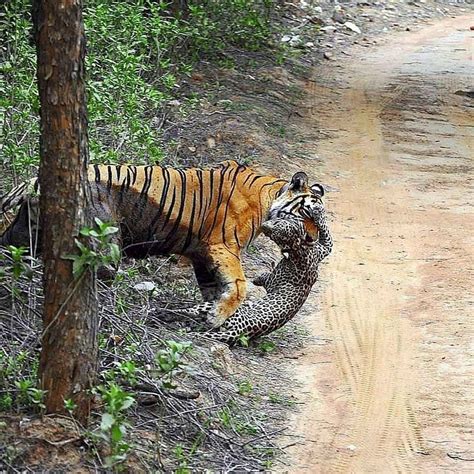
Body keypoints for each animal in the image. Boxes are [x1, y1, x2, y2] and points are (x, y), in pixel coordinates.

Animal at [0, 161, 324, 328]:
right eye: (307, 214)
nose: (311, 239)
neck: (269, 195)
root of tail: (33, 181)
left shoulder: (202, 255)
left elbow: (214, 289)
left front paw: (208, 314)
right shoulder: (222, 247)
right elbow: (239, 286)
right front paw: (217, 316)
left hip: (24, 234)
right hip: (105, 245)